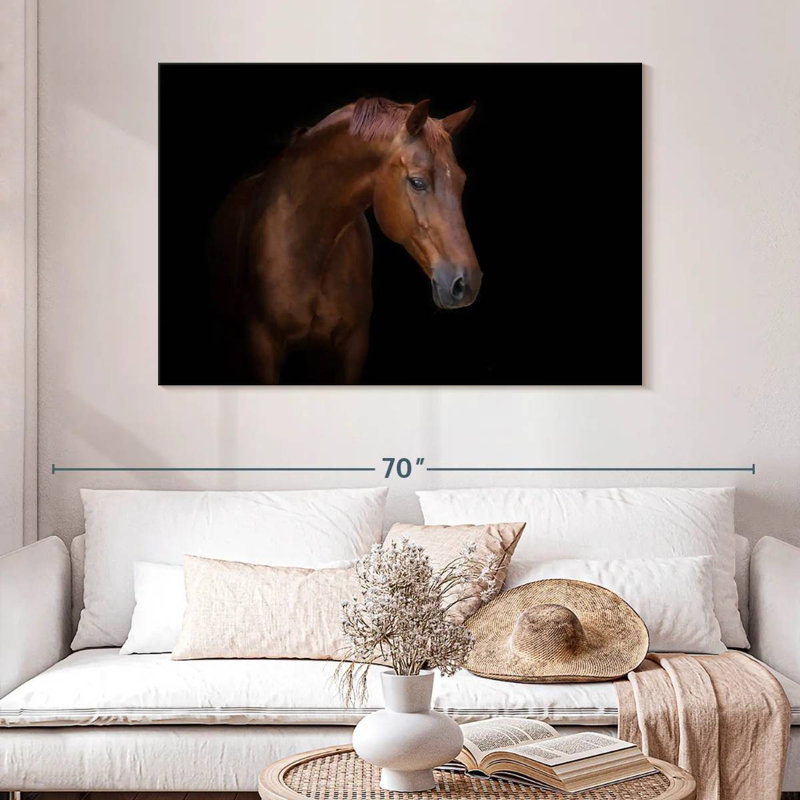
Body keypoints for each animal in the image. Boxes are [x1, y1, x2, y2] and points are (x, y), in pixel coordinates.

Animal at [211, 97, 481, 384]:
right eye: (417, 182)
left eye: (462, 182)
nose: (467, 282)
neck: (309, 243)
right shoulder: (262, 345)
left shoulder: (352, 343)